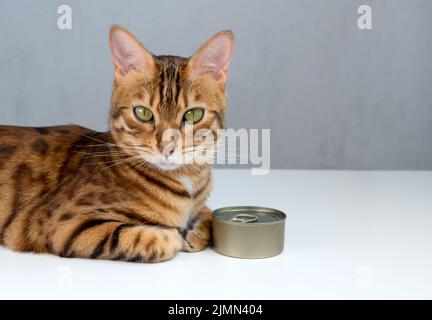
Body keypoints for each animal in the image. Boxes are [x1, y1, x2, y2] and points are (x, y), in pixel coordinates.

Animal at [0, 25, 233, 262]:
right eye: (143, 113)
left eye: (194, 114)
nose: (166, 147)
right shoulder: (61, 222)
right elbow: (139, 236)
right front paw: (173, 235)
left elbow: (207, 216)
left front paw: (195, 230)